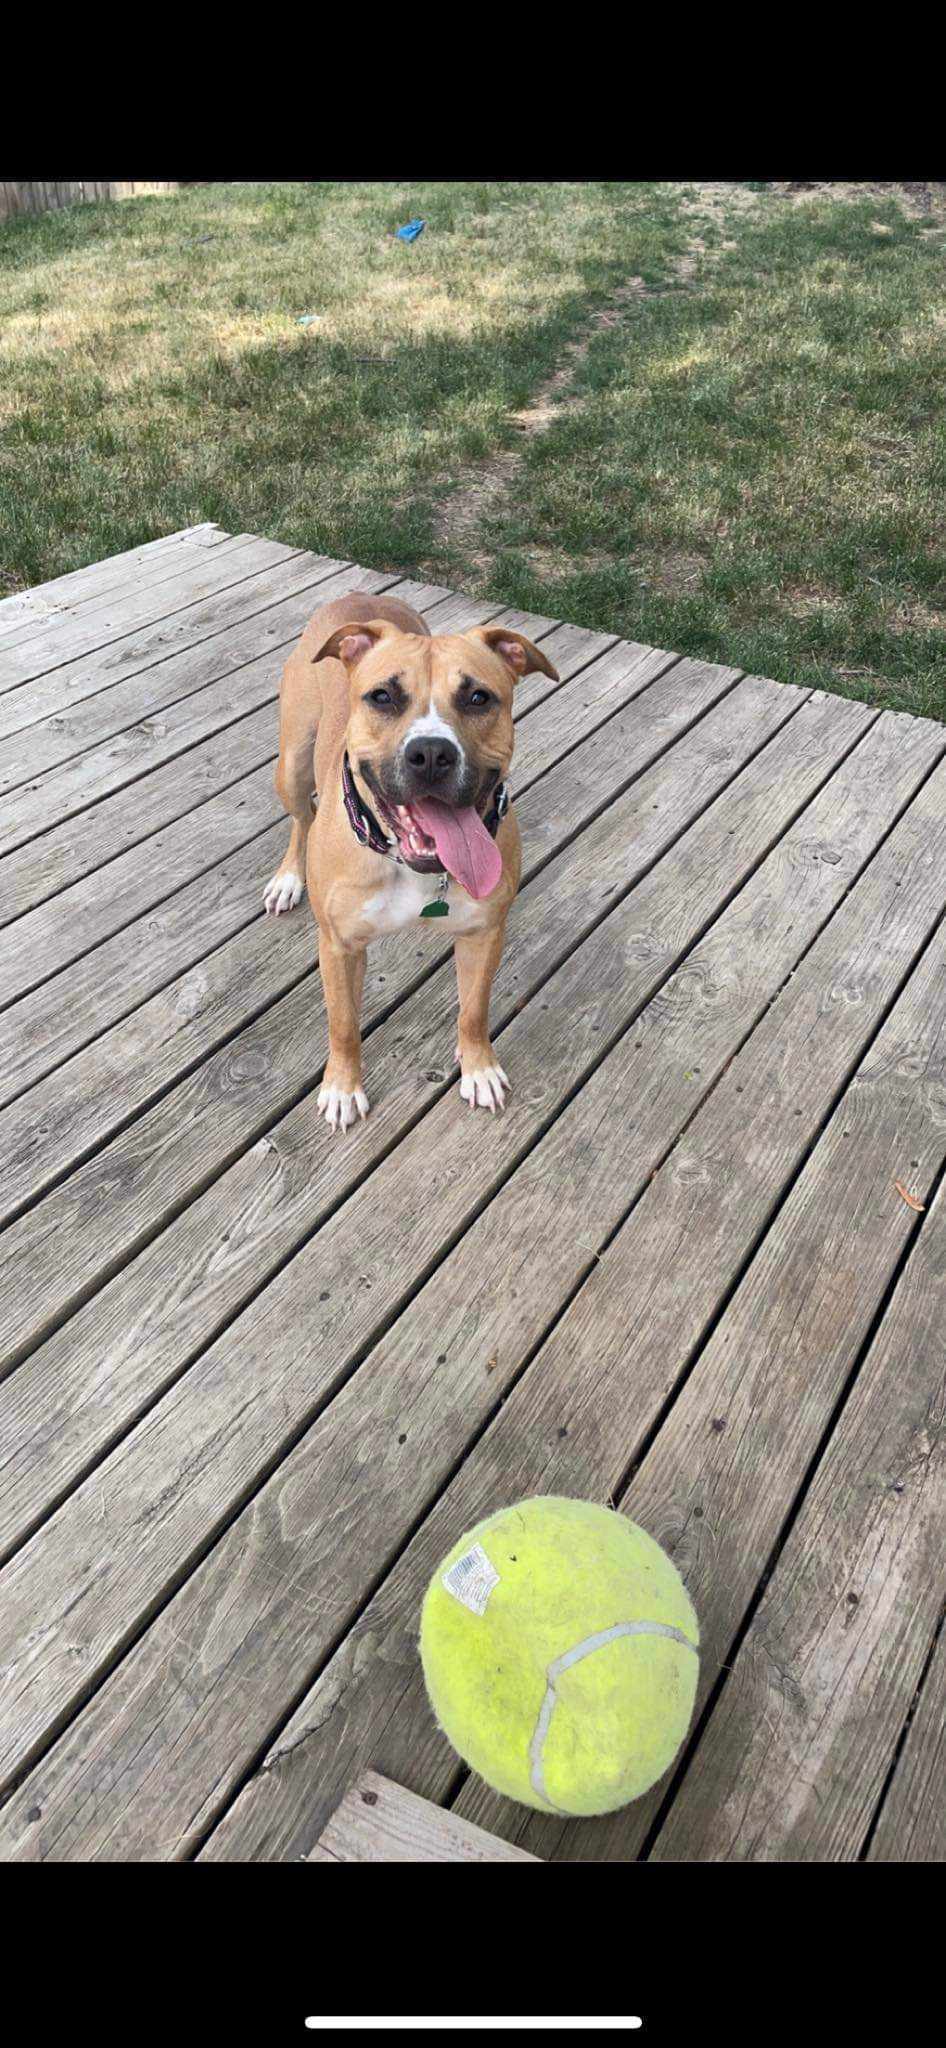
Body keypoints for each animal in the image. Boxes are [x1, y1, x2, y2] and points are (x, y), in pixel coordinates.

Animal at [262, 589, 556, 1138]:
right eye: (382, 697)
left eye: (479, 698)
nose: (432, 753)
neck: (413, 864)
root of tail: (358, 595)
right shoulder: (338, 946)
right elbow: (343, 1024)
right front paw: (342, 1088)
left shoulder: (484, 932)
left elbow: (474, 1010)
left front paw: (479, 1069)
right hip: (292, 763)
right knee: (300, 817)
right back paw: (289, 878)